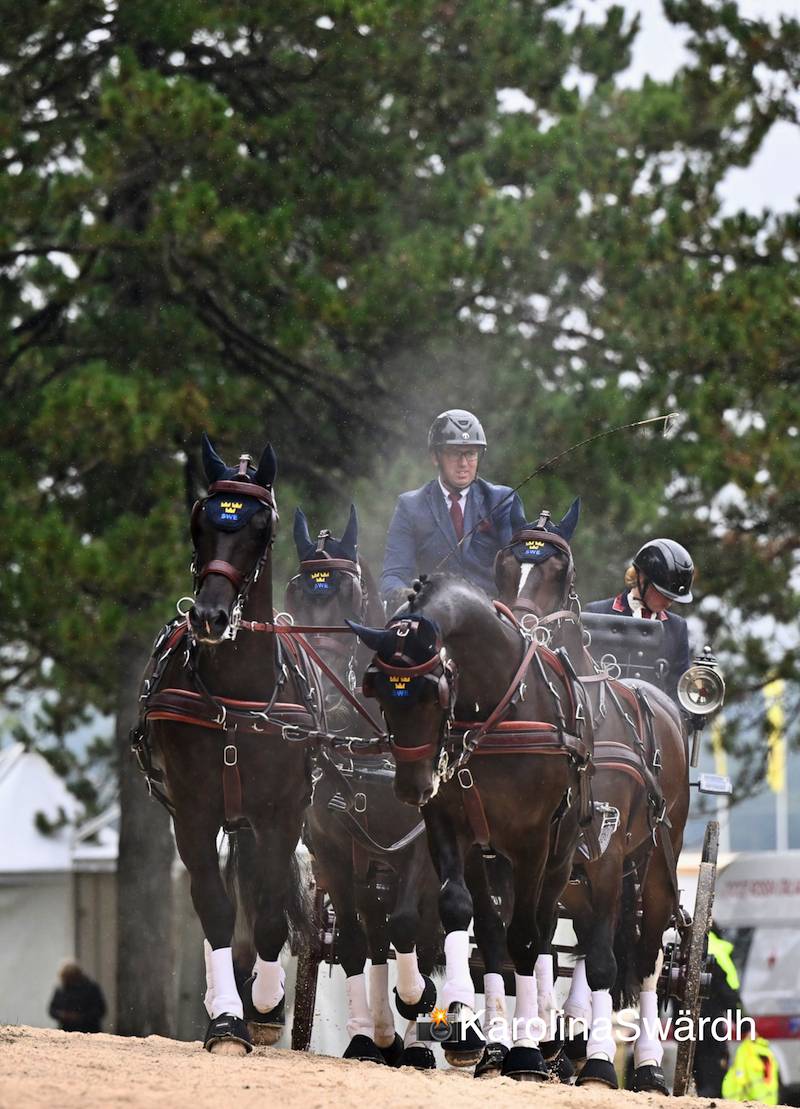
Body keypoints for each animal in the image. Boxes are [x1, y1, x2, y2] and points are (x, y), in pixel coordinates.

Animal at [132, 436, 312, 1051]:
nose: (209, 616)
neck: (238, 697)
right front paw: (228, 1017)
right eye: (200, 520)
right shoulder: (193, 812)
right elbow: (215, 909)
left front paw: (266, 1003)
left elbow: (273, 908)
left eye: (261, 526)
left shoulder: (282, 813)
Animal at [284, 507, 439, 1064]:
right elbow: (355, 940)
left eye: (351, 597)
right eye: (293, 595)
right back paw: (386, 1035)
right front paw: (365, 1037)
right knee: (375, 930)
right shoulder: (333, 850)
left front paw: (417, 1001)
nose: (322, 692)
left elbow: (412, 926)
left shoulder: (421, 847)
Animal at [350, 576, 594, 1077]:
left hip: (560, 855)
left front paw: (527, 1046)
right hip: (484, 854)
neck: (495, 710)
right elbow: (455, 909)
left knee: (541, 930)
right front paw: (456, 1015)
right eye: (378, 691)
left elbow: (527, 938)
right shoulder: (446, 824)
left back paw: (543, 1030)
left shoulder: (533, 841)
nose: (412, 787)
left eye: (432, 693)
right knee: (491, 931)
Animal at [492, 503, 687, 1091]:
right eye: (506, 561)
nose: (521, 627)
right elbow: (518, 947)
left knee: (642, 961)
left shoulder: (604, 855)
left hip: (653, 868)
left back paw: (643, 1065)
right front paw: (521, 1049)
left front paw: (600, 1061)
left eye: (560, 571)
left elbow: (604, 964)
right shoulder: (522, 855)